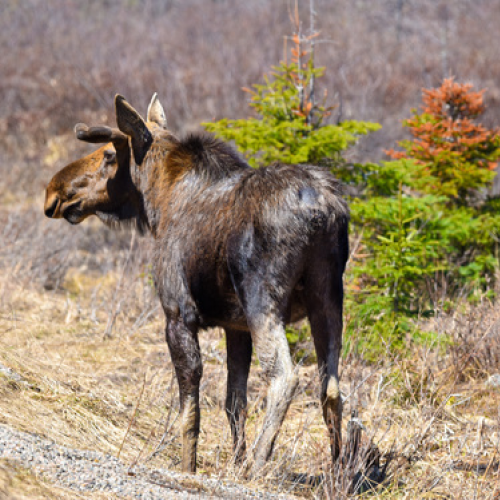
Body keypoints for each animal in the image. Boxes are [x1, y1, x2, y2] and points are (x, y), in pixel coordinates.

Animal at [44, 94, 349, 476]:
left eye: (109, 155)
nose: (53, 191)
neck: (157, 203)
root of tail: (322, 211)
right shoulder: (236, 327)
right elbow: (235, 403)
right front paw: (234, 462)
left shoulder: (177, 315)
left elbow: (189, 411)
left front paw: (191, 468)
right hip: (329, 297)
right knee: (332, 386)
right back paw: (340, 474)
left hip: (263, 300)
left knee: (285, 377)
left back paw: (257, 468)